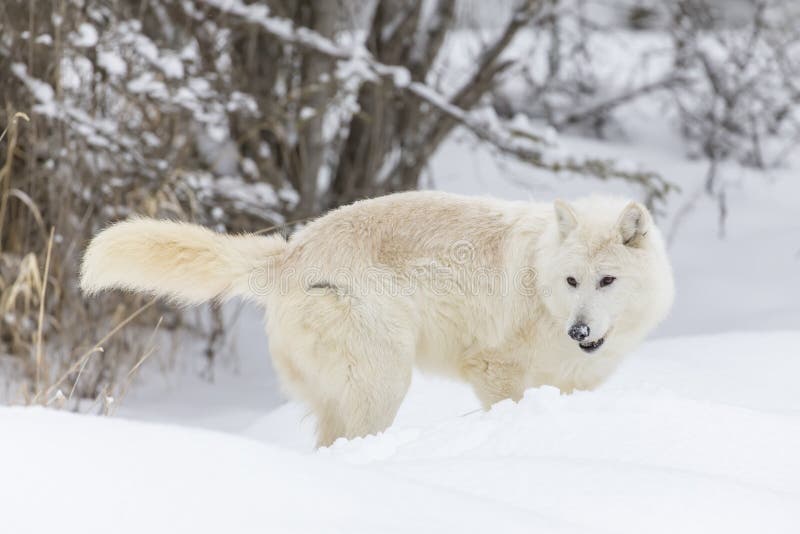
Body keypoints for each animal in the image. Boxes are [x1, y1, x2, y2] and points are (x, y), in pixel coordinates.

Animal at [81, 193, 672, 448]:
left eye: (606, 281)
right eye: (573, 281)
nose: (580, 331)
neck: (540, 282)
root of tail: (290, 253)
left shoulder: (573, 384)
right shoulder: (493, 367)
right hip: (386, 382)